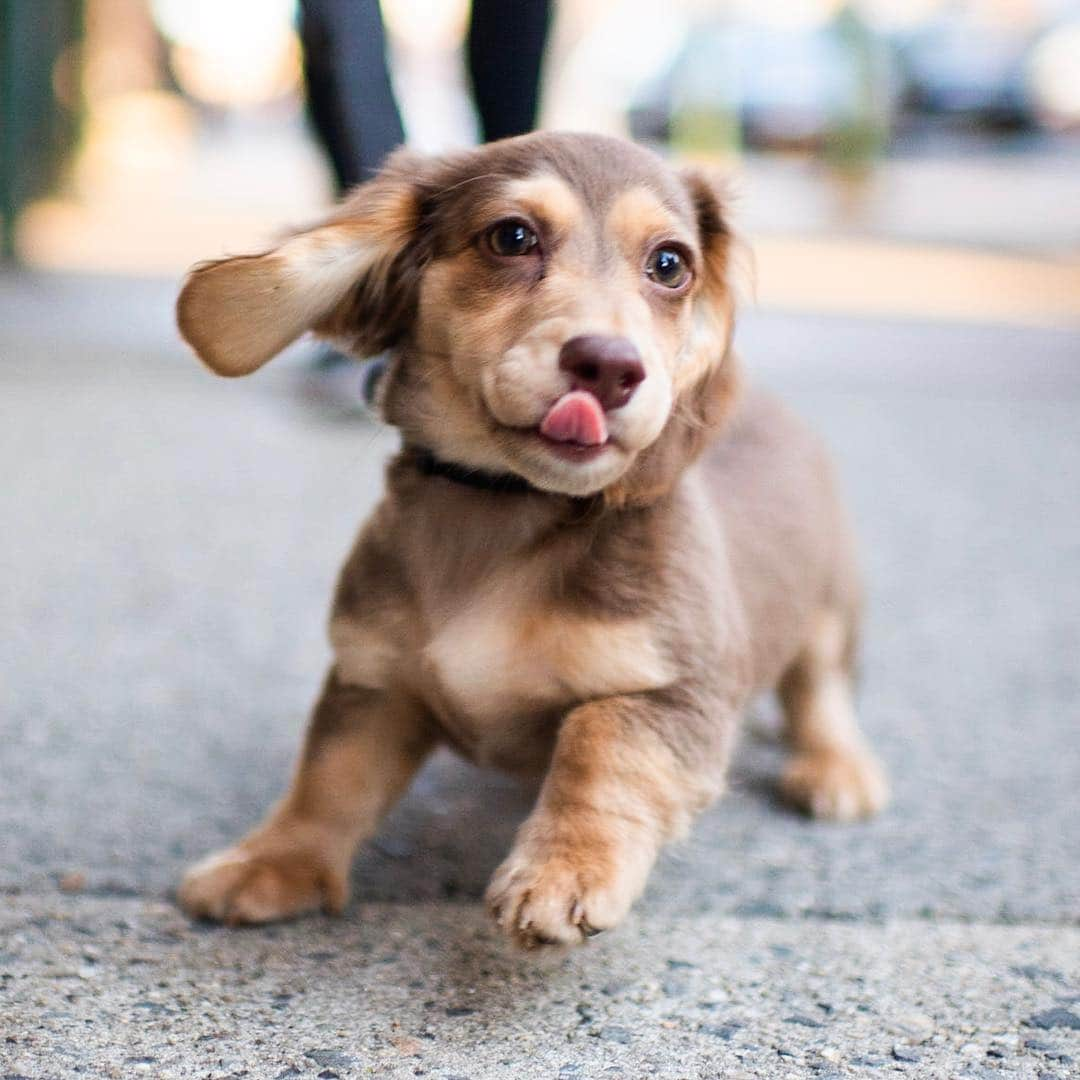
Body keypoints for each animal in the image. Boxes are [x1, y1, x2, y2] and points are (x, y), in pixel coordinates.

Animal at [174, 132, 885, 946]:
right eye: (512, 237)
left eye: (669, 264)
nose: (610, 367)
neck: (506, 509)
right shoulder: (374, 677)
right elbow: (330, 775)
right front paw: (273, 861)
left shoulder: (676, 691)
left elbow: (599, 744)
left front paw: (563, 870)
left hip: (831, 607)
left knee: (822, 689)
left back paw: (835, 770)